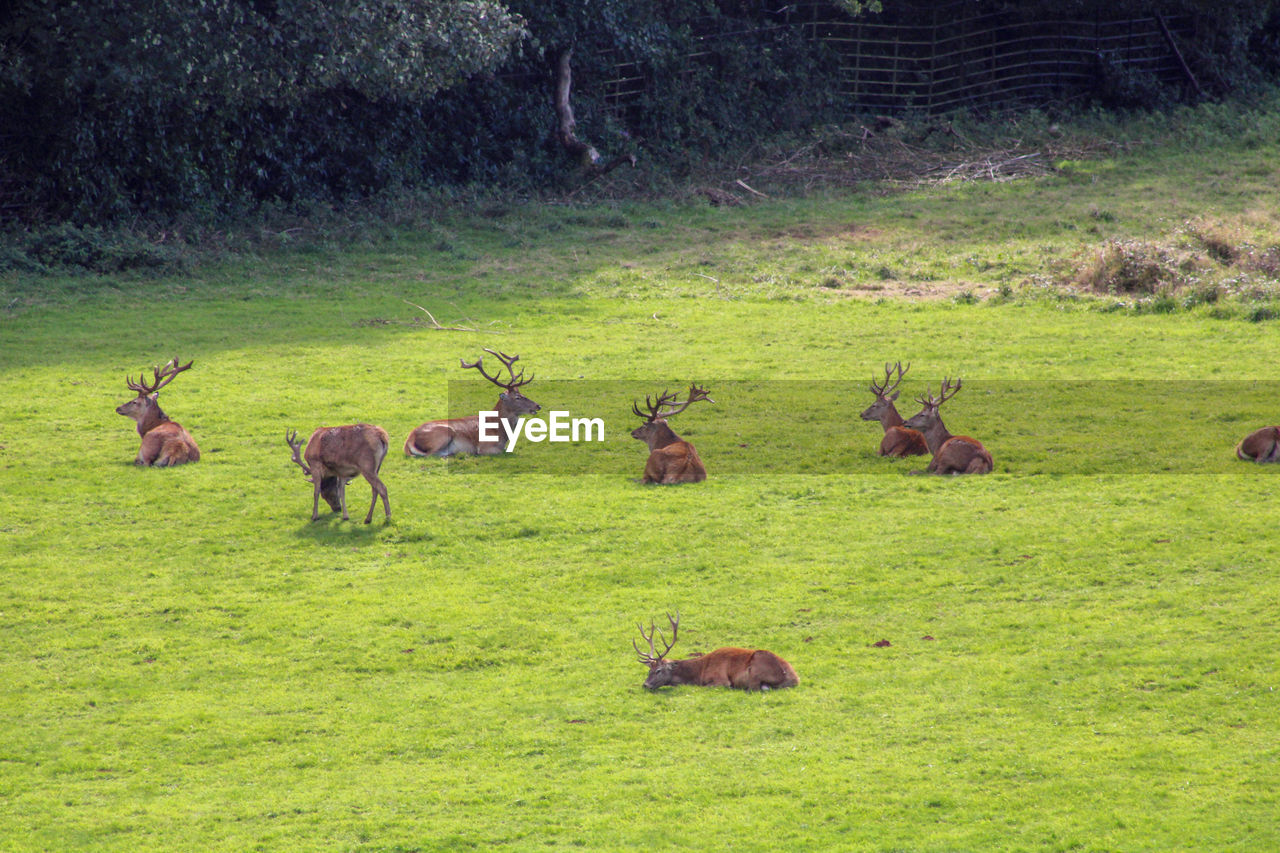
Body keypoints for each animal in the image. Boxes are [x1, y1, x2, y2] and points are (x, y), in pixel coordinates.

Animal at [401, 345, 537, 455]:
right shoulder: (485, 447)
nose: (537, 406)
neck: (501, 433)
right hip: (443, 433)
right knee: (431, 454)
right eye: (517, 397)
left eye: (523, 394)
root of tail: (409, 439)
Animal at [632, 612, 798, 691]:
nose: (645, 685)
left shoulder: (721, 680)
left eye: (658, 670)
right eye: (648, 671)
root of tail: (794, 678)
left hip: (756, 668)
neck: (700, 671)